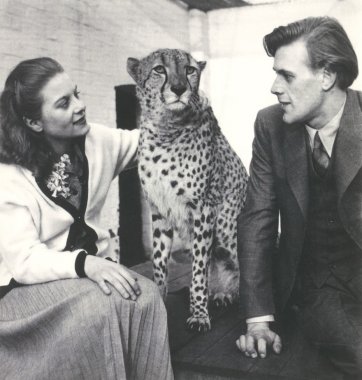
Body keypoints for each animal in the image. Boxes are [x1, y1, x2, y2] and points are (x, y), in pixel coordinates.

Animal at [127, 49, 249, 332]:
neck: (165, 130)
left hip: (228, 232)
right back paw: (223, 293)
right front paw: (160, 303)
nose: (179, 88)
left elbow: (198, 268)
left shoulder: (203, 209)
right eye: (159, 69)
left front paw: (200, 314)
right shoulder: (159, 210)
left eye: (190, 70)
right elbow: (159, 262)